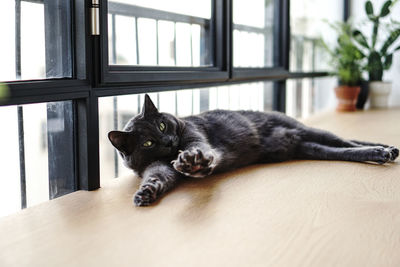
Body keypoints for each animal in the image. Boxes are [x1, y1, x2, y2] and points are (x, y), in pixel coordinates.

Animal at [108, 94, 398, 207]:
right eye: (148, 143)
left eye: (162, 124)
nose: (168, 141)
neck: (170, 154)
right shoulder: (155, 167)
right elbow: (158, 176)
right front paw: (146, 192)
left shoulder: (195, 136)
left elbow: (199, 148)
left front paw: (193, 160)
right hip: (311, 147)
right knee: (341, 150)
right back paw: (380, 152)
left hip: (308, 131)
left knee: (347, 141)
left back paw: (384, 150)